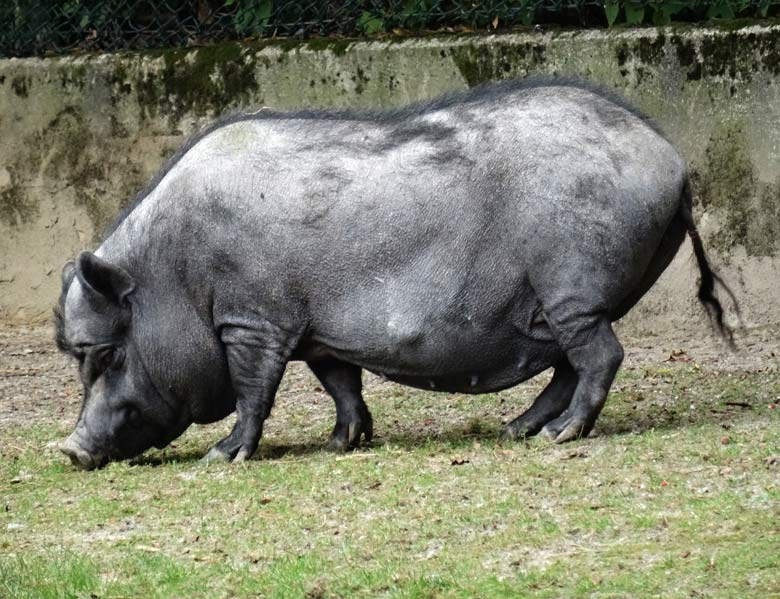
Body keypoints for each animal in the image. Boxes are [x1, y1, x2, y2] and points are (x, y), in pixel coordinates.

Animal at [53, 77, 732, 468]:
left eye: (106, 355)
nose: (69, 449)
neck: (176, 273)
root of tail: (671, 161)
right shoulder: (315, 330)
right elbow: (339, 381)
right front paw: (342, 444)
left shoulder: (252, 320)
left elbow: (254, 390)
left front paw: (223, 458)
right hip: (559, 301)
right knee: (569, 365)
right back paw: (515, 430)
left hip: (573, 287)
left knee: (600, 357)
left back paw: (558, 439)